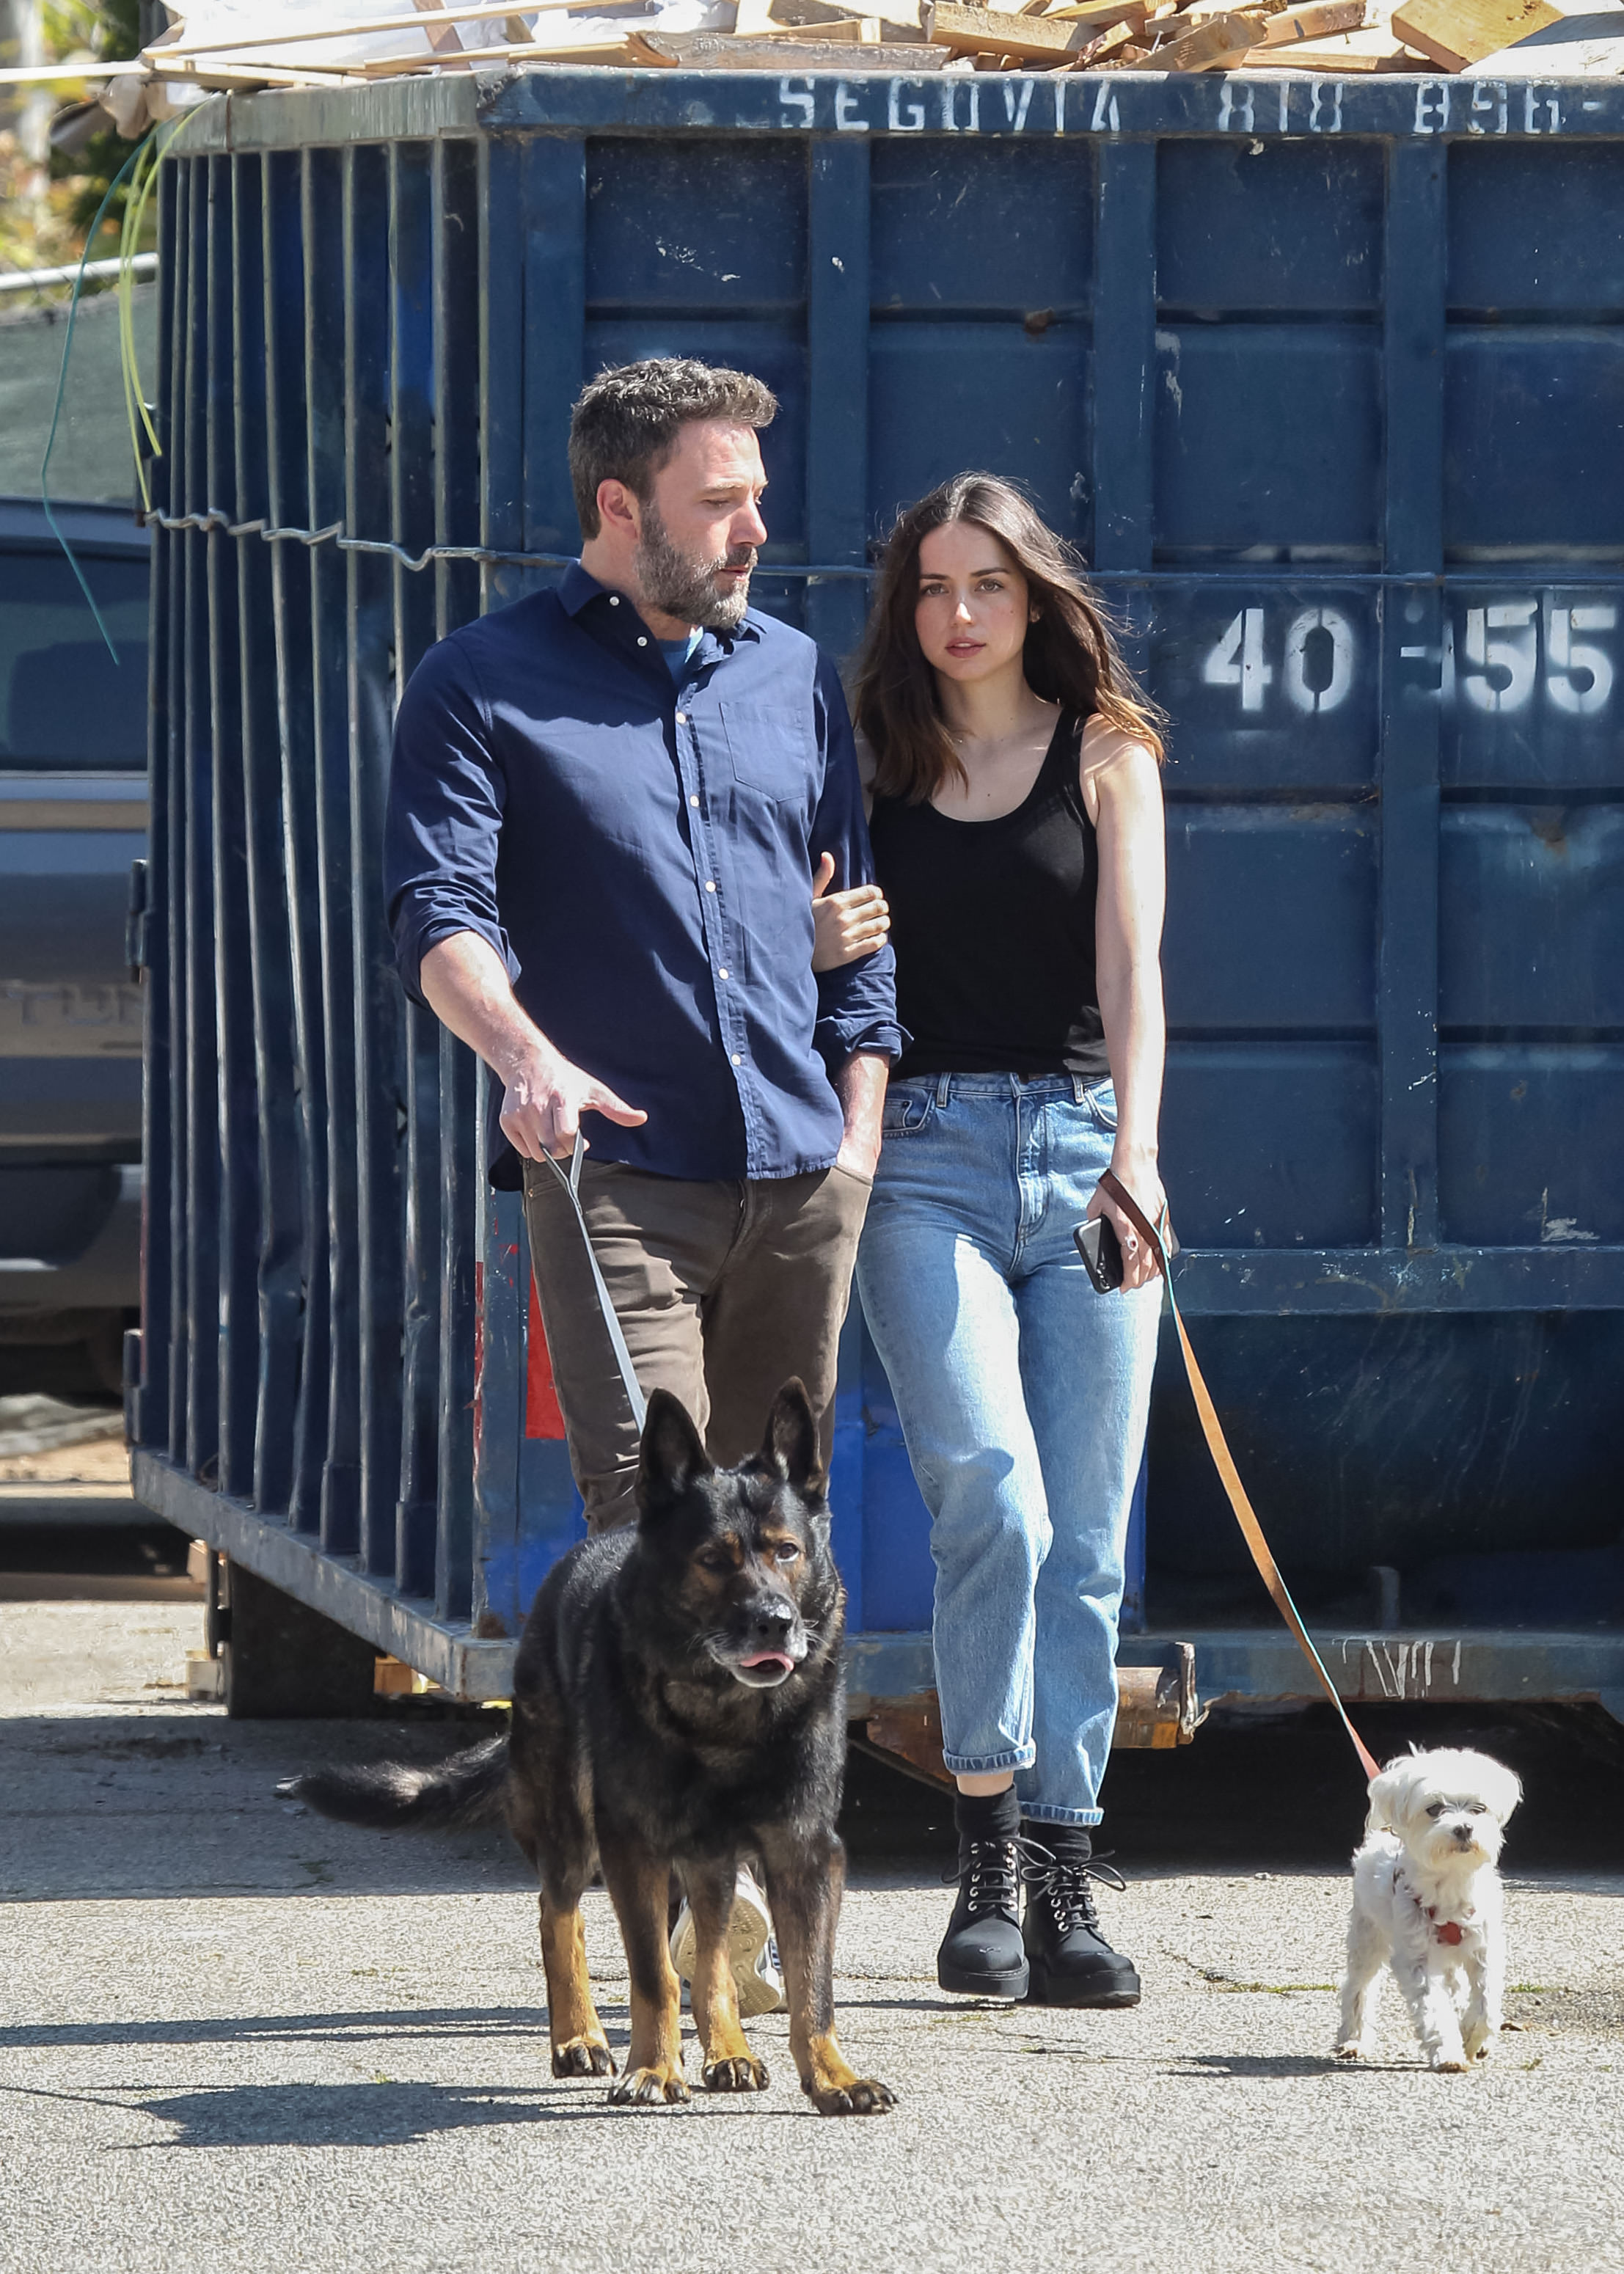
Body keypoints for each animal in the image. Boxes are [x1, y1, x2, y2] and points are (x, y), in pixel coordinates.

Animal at [284, 1373, 891, 2119]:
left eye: (787, 1551)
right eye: (713, 1560)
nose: (776, 1623)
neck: (723, 1716)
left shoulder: (804, 1855)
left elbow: (813, 1989)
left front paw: (833, 2076)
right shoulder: (633, 1846)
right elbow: (653, 1975)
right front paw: (654, 2069)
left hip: (706, 1858)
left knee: (713, 1948)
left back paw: (727, 2049)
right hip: (571, 1824)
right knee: (558, 1914)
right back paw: (579, 2037)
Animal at [1328, 1737, 1519, 2083]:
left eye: (1478, 1808)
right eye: (1434, 1809)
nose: (1464, 1828)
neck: (1450, 1883)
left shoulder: (1484, 1949)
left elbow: (1486, 2003)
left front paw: (1473, 2038)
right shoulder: (1418, 1958)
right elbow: (1434, 2006)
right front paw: (1450, 2052)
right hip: (1368, 1935)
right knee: (1359, 1986)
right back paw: (1353, 2038)